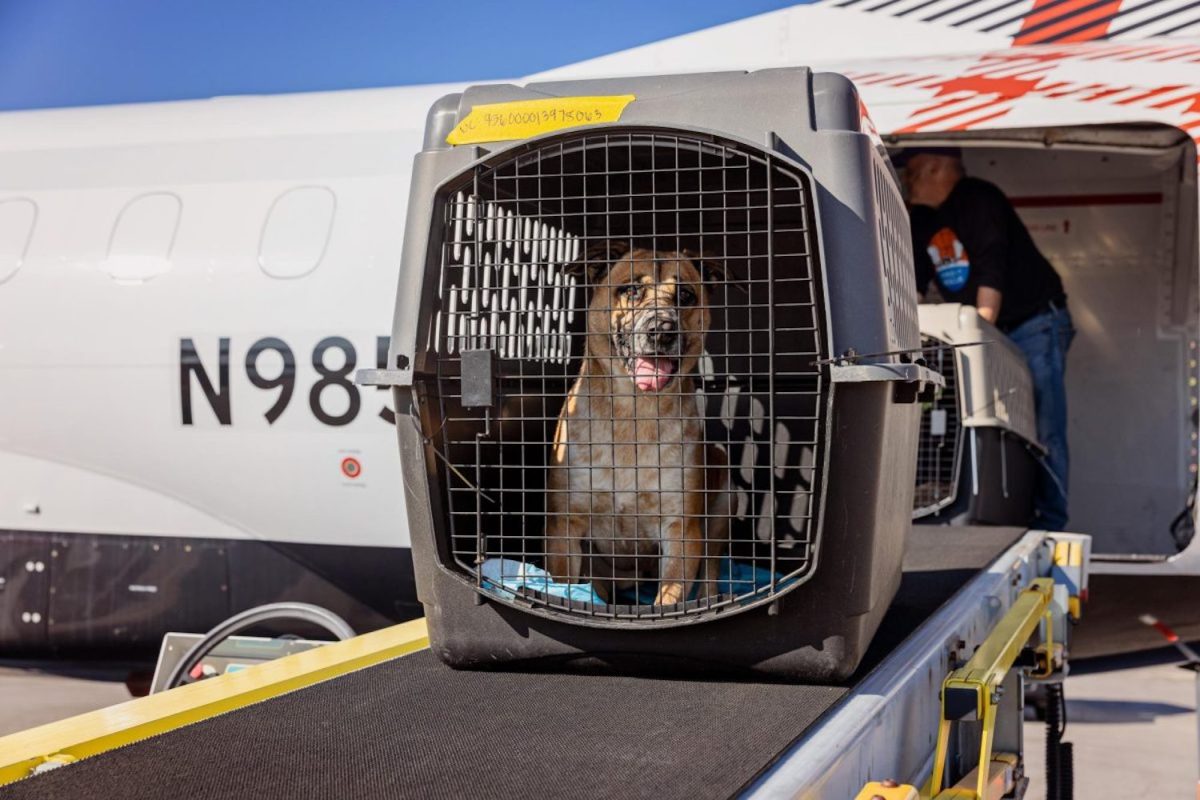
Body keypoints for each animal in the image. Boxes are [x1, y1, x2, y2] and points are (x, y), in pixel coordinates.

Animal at [547, 244, 729, 606]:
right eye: (631, 290)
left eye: (685, 295)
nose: (662, 329)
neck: (634, 414)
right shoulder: (565, 526)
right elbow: (565, 584)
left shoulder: (681, 530)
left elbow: (669, 597)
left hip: (724, 489)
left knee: (712, 566)